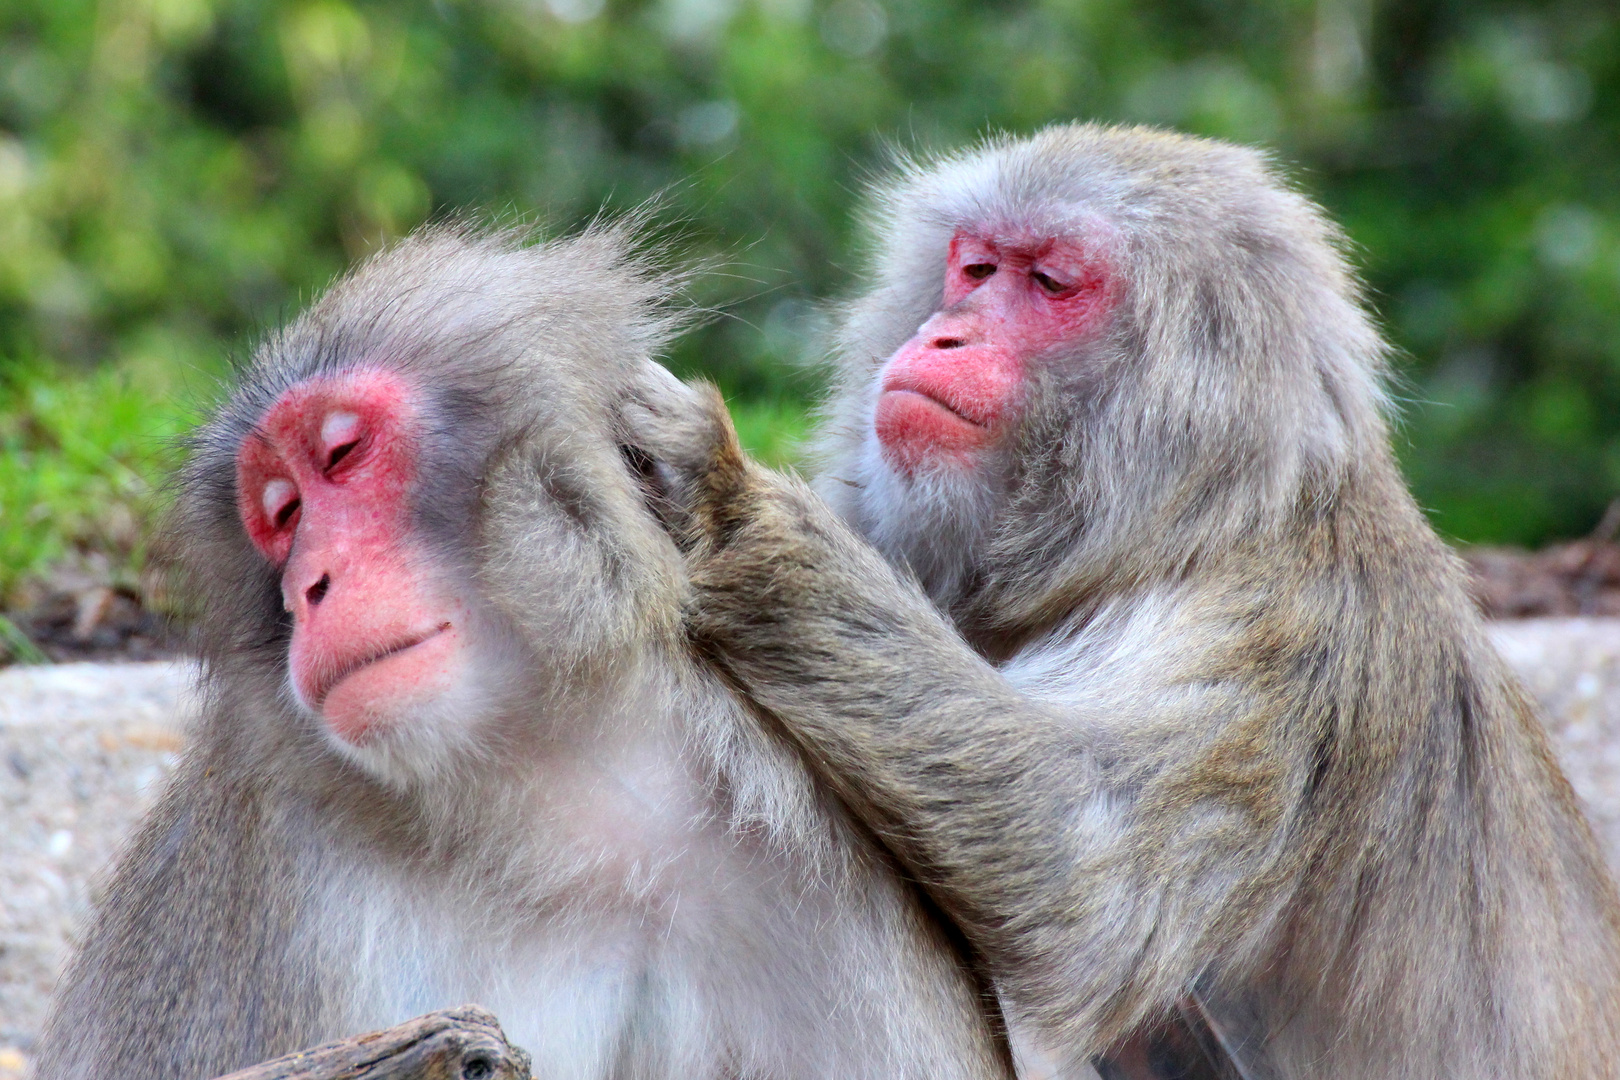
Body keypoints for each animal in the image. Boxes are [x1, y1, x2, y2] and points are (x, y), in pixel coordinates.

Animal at [625, 127, 1620, 1080]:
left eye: (1051, 281)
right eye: (975, 268)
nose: (946, 334)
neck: (1195, 522)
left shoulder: (1279, 643)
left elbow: (1091, 879)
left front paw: (723, 495)